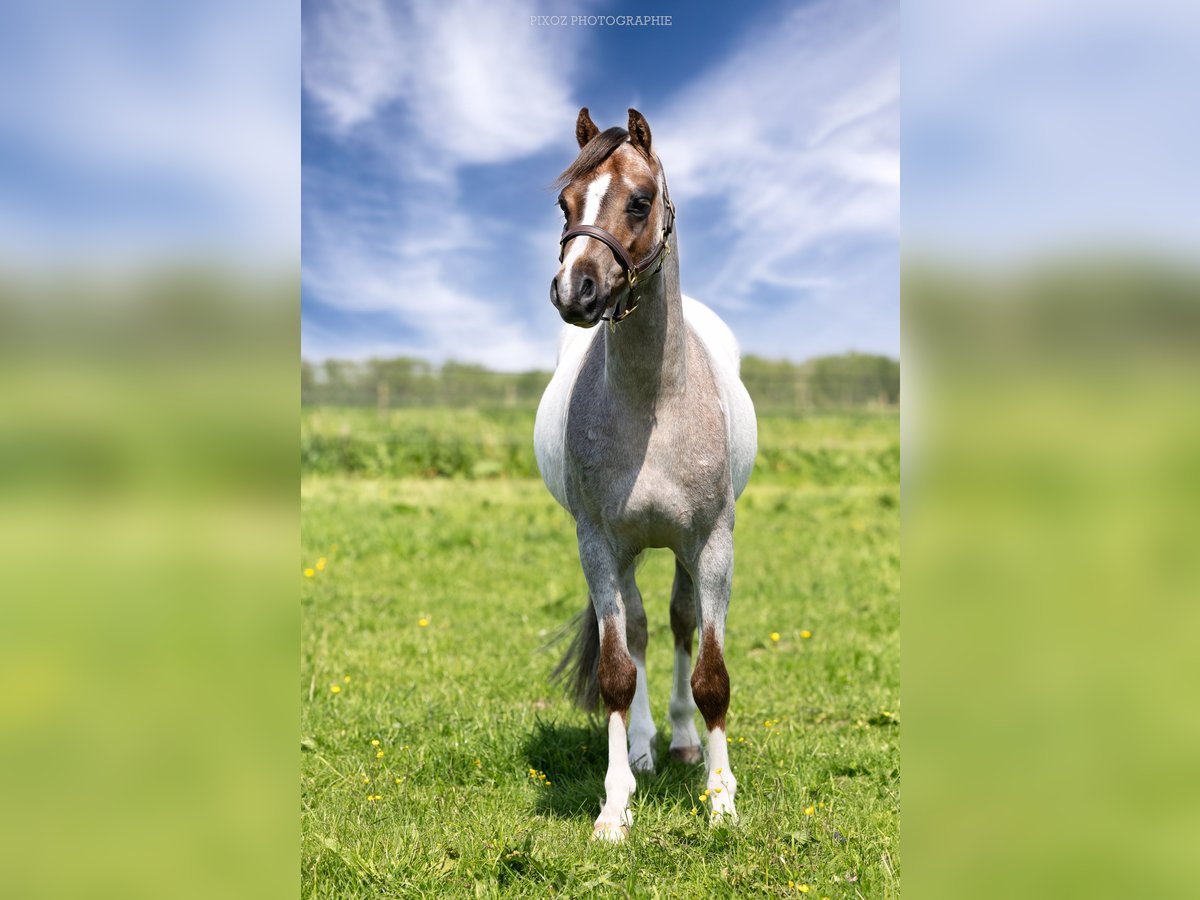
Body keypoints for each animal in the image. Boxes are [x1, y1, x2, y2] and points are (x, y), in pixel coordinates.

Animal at [537, 109, 758, 844]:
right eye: (565, 203)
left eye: (639, 200)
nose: (574, 291)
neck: (652, 406)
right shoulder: (600, 546)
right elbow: (616, 672)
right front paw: (614, 808)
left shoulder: (712, 544)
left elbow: (711, 674)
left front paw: (721, 803)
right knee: (635, 632)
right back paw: (640, 749)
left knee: (681, 624)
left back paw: (685, 745)